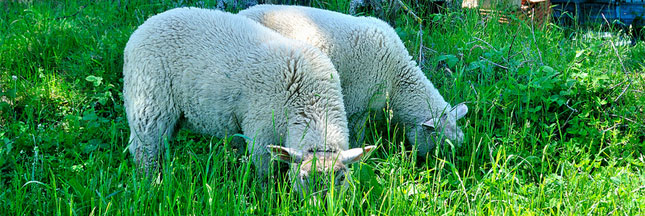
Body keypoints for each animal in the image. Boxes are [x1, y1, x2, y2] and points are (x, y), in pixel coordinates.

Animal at [121, 7, 374, 196]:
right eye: (303, 178)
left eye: (341, 178)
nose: (320, 207)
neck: (308, 102)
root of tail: (147, 23)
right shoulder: (261, 136)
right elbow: (266, 176)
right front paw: (267, 197)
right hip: (149, 102)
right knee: (144, 149)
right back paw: (150, 185)